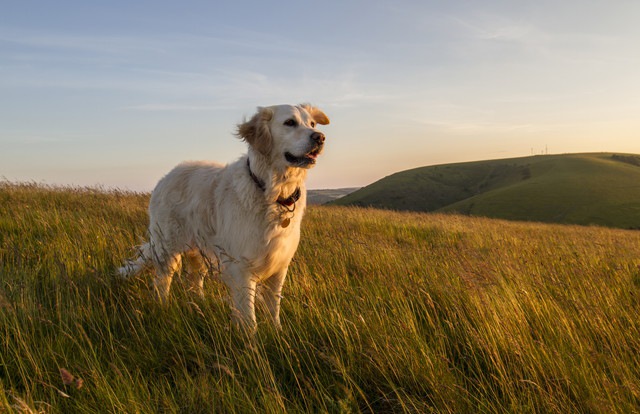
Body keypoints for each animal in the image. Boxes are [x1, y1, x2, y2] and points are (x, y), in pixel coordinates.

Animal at [119, 102, 330, 330]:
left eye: (312, 124)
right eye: (289, 122)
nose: (320, 137)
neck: (272, 192)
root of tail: (166, 176)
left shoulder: (279, 268)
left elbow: (274, 310)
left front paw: (277, 333)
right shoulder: (241, 269)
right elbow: (249, 319)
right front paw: (251, 339)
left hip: (197, 252)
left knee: (194, 282)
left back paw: (199, 307)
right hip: (168, 248)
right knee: (162, 282)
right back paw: (163, 308)